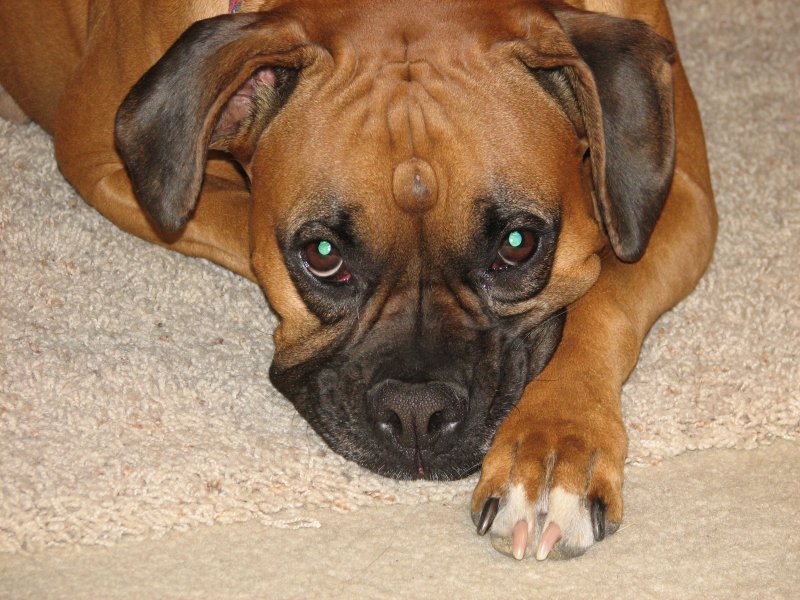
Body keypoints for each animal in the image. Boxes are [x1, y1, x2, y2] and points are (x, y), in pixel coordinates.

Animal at [0, 1, 720, 564]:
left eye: (517, 245)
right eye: (321, 254)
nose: (416, 413)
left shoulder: (679, 194)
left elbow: (603, 298)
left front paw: (552, 452)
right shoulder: (102, 162)